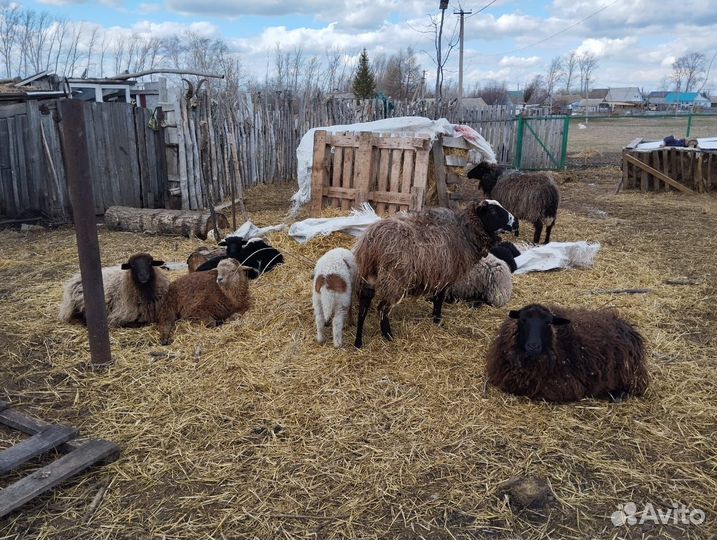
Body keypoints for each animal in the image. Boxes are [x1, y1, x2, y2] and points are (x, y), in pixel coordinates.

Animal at [353, 200, 518, 348]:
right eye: (492, 211)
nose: (516, 223)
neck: (463, 231)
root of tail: (372, 242)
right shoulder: (445, 275)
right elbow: (439, 299)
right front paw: (438, 320)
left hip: (369, 274)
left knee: (364, 305)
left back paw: (358, 342)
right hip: (394, 279)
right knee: (383, 308)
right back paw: (388, 335)